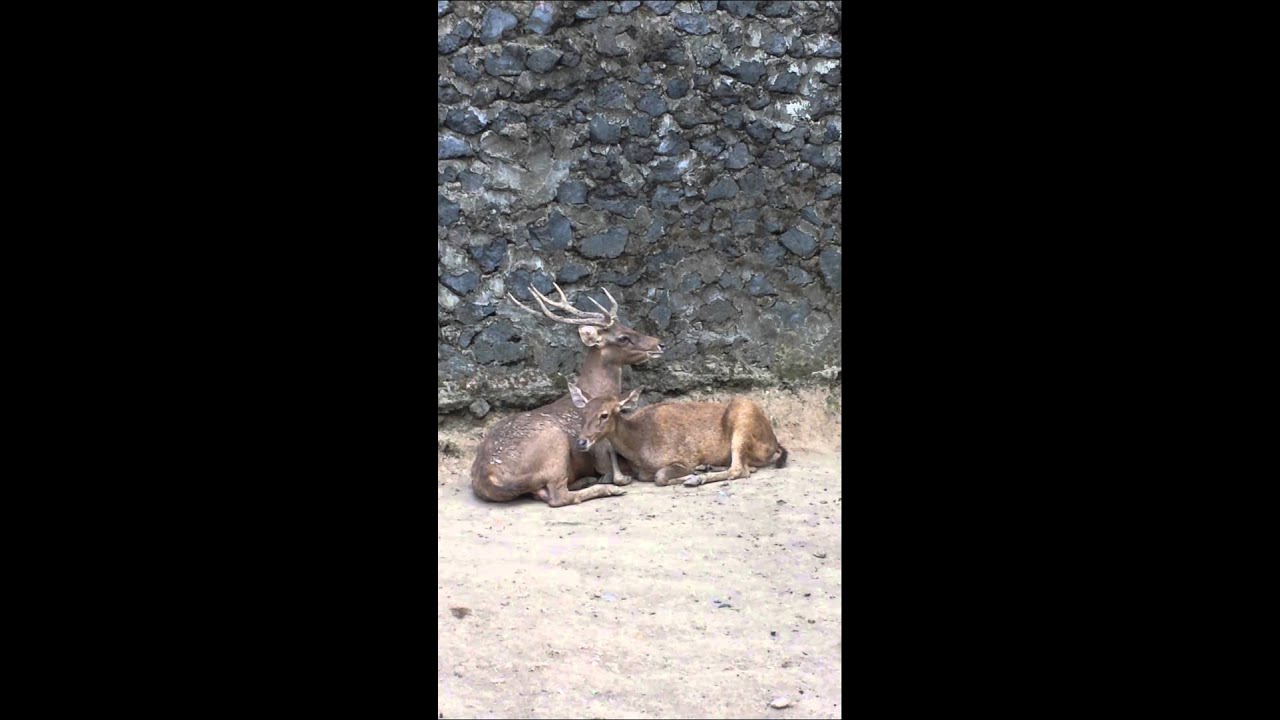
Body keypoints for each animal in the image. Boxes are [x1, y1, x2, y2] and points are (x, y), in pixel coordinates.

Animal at [469, 284, 664, 507]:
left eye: (628, 326)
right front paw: (617, 479)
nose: (659, 344)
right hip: (555, 446)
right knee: (558, 496)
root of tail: (490, 477)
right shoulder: (600, 450)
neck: (595, 391)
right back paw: (606, 488)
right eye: (623, 338)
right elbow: (614, 468)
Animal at [568, 385, 789, 488]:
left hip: (743, 417)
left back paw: (696, 478)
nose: (581, 441)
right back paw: (706, 467)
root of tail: (774, 442)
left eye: (604, 415)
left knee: (740, 470)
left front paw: (689, 476)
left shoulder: (682, 458)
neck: (639, 446)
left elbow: (660, 476)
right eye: (583, 413)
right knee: (746, 467)